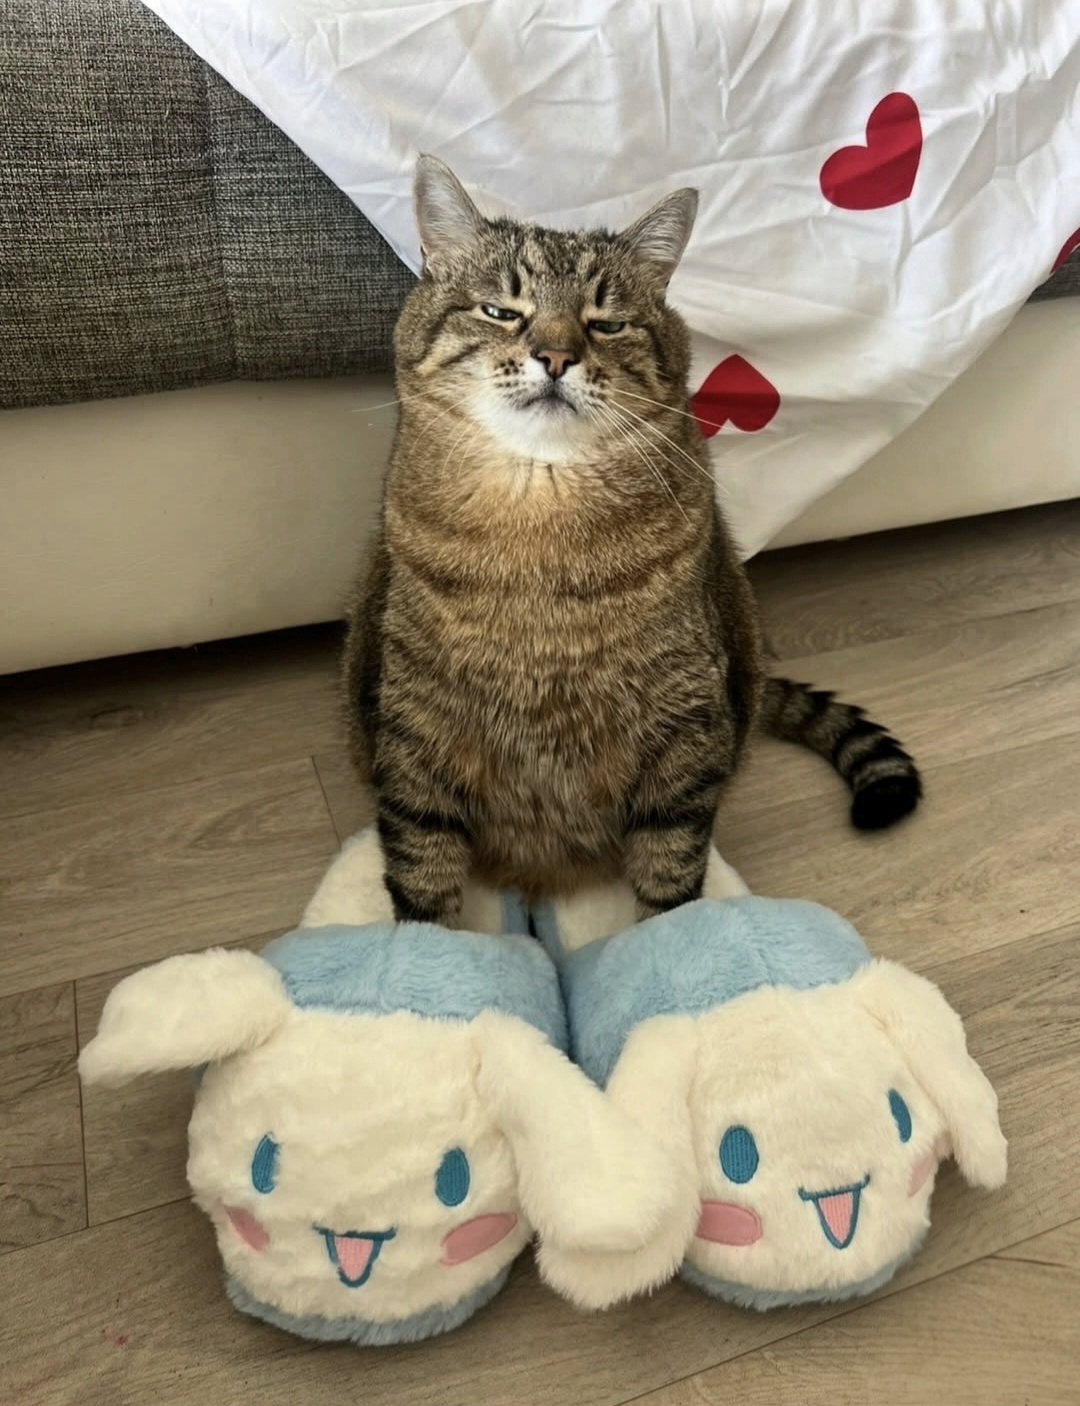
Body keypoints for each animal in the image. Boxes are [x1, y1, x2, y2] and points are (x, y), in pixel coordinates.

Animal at [342, 156, 920, 924]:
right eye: (501, 311)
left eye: (606, 322)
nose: (555, 355)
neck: (539, 521)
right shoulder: (414, 733)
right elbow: (421, 876)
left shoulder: (685, 733)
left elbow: (671, 866)